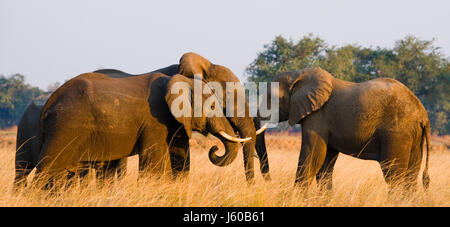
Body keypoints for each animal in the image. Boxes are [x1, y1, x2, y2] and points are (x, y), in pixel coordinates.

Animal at [33, 72, 248, 189]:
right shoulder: (154, 120)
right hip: (64, 127)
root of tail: (47, 105)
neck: (179, 81)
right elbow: (153, 162)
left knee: (60, 173)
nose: (214, 148)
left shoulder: (172, 121)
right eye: (211, 107)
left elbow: (177, 157)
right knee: (48, 169)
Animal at [255, 67, 430, 192]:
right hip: (414, 136)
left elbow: (313, 157)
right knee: (410, 176)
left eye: (270, 98)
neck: (299, 74)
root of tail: (423, 114)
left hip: (397, 134)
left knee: (394, 176)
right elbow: (325, 164)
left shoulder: (318, 116)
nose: (270, 183)